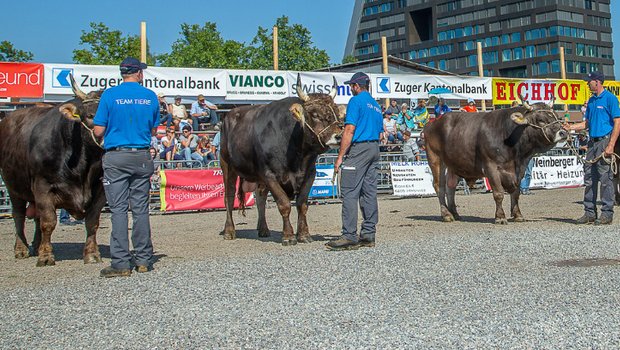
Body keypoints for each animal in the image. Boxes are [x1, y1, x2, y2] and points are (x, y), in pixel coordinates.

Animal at [0, 76, 105, 266]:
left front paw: (92, 254)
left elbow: (92, 221)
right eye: (90, 115)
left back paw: (36, 245)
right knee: (19, 215)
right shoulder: (43, 186)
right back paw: (21, 249)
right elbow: (48, 222)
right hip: (13, 187)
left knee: (35, 216)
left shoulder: (100, 189)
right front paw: (46, 256)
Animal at [220, 73, 344, 245]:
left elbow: (302, 204)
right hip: (227, 165)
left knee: (260, 198)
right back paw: (229, 231)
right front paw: (288, 236)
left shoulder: (309, 174)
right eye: (314, 114)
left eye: (336, 113)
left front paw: (304, 234)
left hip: (258, 178)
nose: (339, 136)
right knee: (229, 197)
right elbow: (284, 204)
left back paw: (263, 229)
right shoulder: (270, 175)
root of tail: (230, 114)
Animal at [424, 100, 568, 223]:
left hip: (453, 163)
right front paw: (500, 217)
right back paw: (446, 215)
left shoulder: (520, 168)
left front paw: (518, 215)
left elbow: (516, 193)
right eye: (541, 120)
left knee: (451, 186)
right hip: (436, 159)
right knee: (439, 186)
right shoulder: (490, 166)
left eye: (556, 117)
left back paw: (454, 213)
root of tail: (433, 122)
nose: (563, 133)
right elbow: (498, 193)